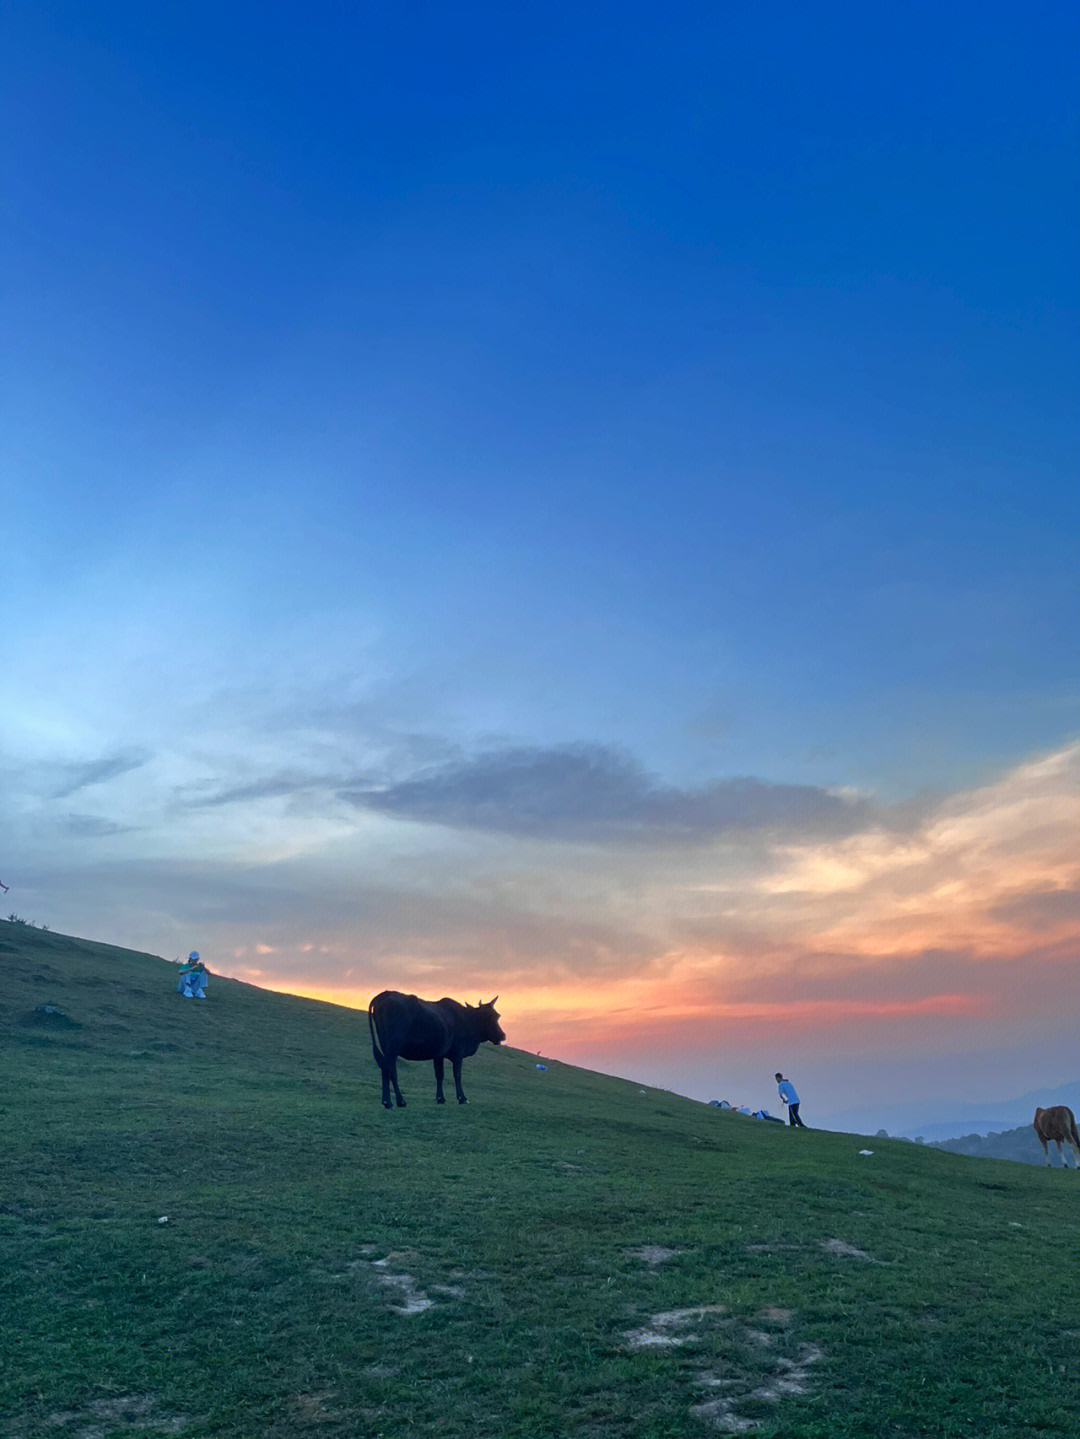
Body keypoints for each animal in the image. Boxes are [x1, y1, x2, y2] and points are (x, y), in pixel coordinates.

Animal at [368, 990, 506, 1110]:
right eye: (487, 1017)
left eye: (497, 1016)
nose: (502, 1036)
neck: (467, 1020)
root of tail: (384, 994)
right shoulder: (459, 1052)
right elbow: (457, 1075)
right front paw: (462, 1098)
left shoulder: (438, 1054)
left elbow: (439, 1075)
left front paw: (440, 1098)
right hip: (392, 1047)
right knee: (387, 1069)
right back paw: (389, 1102)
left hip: (387, 1048)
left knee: (390, 1070)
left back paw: (399, 1102)